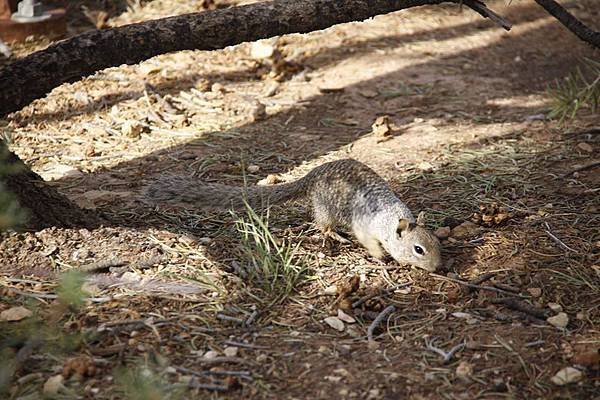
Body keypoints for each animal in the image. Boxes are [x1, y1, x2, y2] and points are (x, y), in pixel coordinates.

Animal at [145, 159, 442, 272]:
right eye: (418, 249)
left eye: (437, 243)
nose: (440, 267)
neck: (390, 219)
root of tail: (311, 175)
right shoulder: (365, 228)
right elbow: (370, 243)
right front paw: (382, 257)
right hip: (325, 208)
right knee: (322, 224)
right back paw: (334, 235)